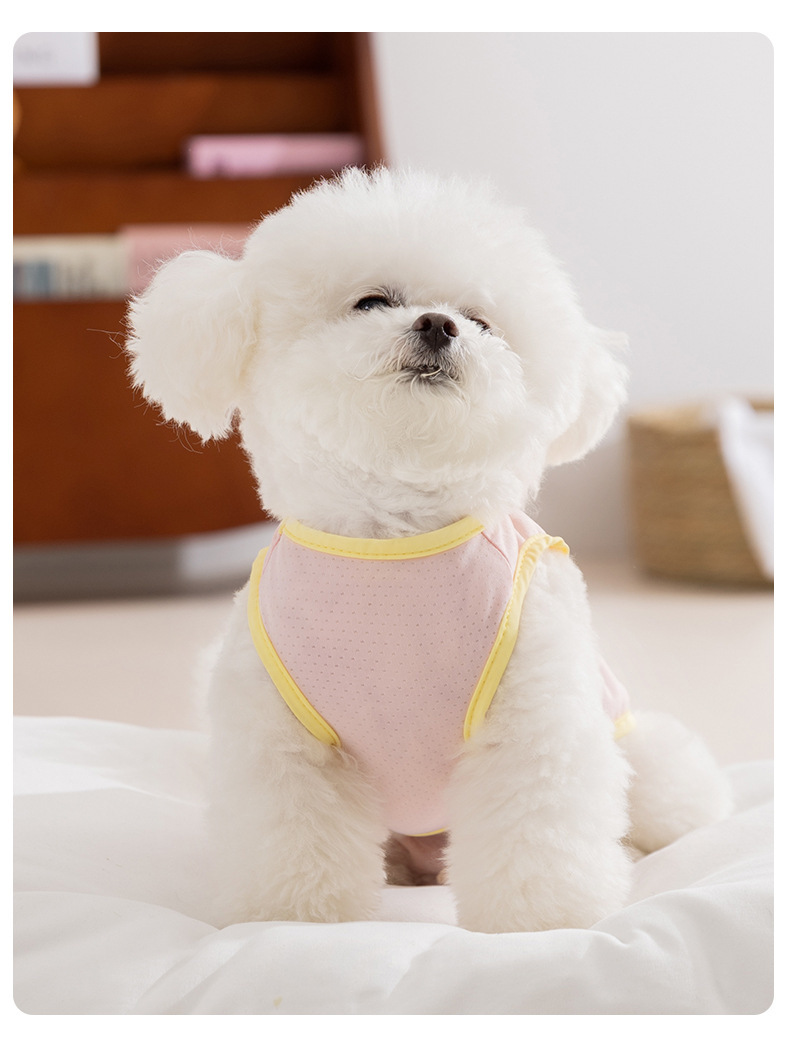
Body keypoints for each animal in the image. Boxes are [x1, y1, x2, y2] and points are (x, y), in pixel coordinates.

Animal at [126, 167, 732, 932]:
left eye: (480, 320)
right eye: (373, 300)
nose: (440, 324)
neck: (396, 541)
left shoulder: (536, 721)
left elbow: (537, 832)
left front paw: (540, 923)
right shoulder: (282, 741)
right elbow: (291, 837)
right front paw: (292, 919)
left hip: (633, 744)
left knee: (665, 787)